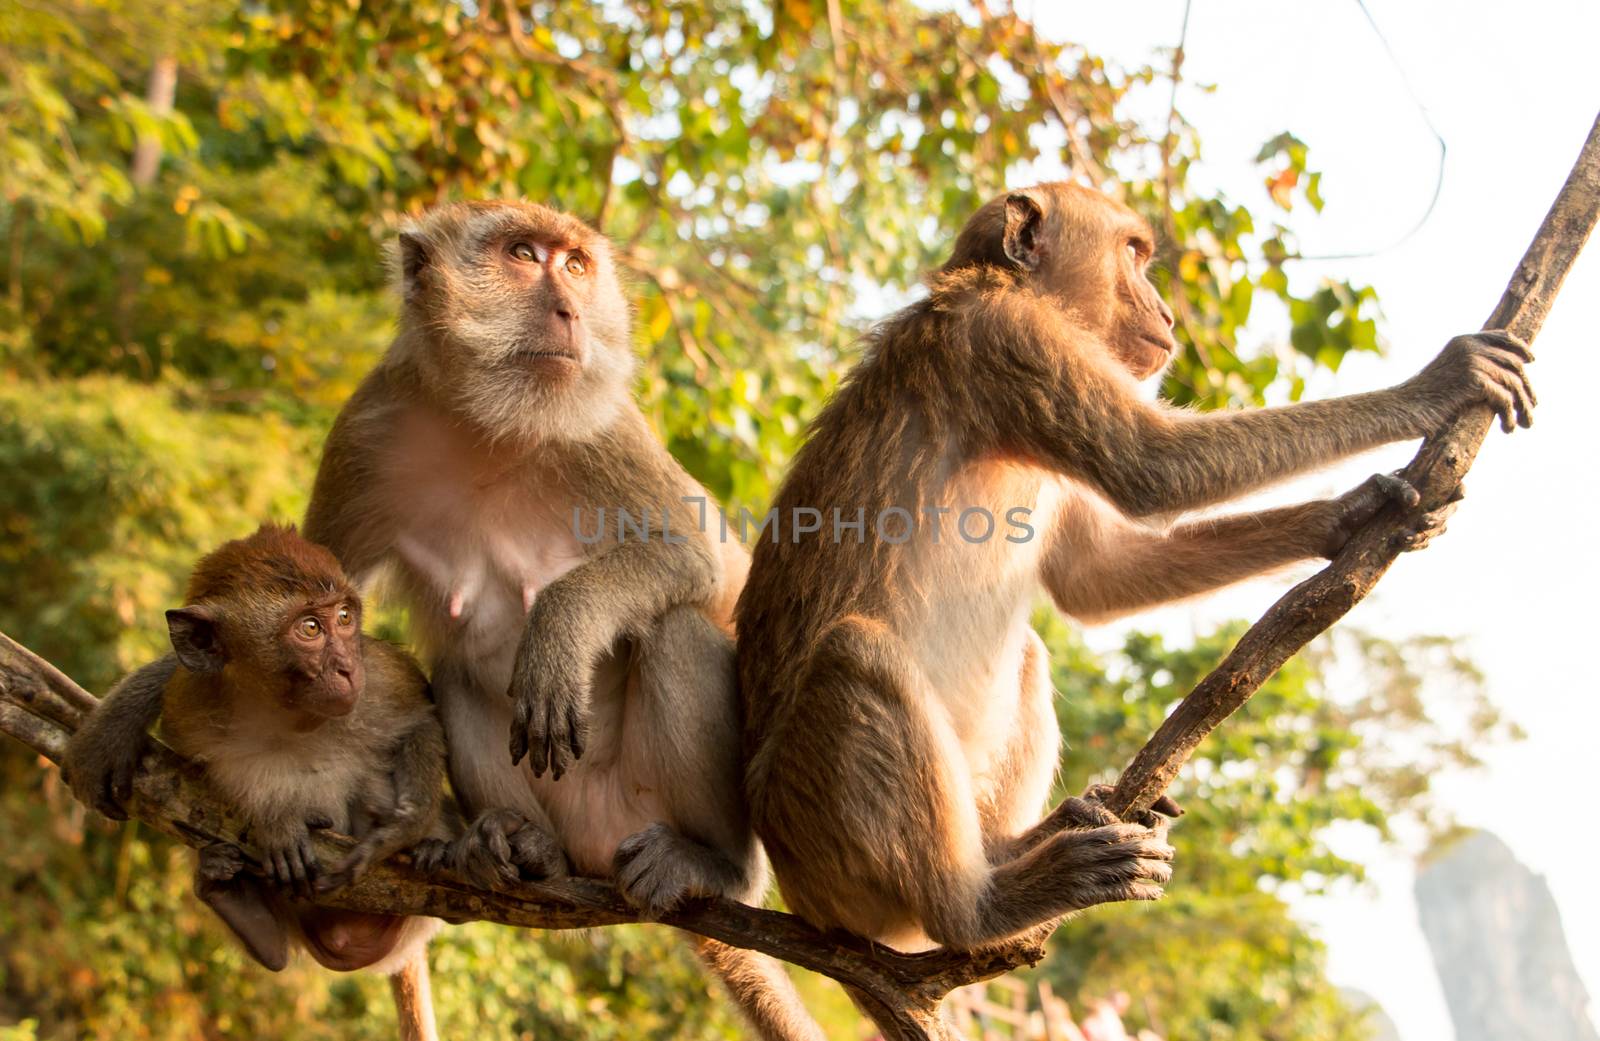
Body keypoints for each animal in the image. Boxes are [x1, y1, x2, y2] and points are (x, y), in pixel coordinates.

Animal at [63, 530, 448, 1041]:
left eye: (344, 618)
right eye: (310, 628)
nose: (347, 668)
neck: (290, 714)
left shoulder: (382, 678)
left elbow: (420, 721)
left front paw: (401, 829)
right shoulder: (189, 701)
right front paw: (275, 821)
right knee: (274, 945)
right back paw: (236, 902)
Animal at [304, 197, 819, 1041]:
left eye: (575, 264)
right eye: (522, 254)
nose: (571, 309)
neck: (489, 424)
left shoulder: (606, 429)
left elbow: (701, 565)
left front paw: (559, 628)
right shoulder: (367, 429)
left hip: (646, 809)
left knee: (677, 630)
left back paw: (712, 864)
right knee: (454, 677)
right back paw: (517, 844)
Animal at [732, 181, 1529, 953]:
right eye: (1133, 254)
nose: (1167, 310)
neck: (1008, 288)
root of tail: (809, 904)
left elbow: (1096, 578)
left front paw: (1352, 516)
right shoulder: (1009, 339)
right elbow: (1156, 469)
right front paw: (1436, 384)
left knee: (1025, 652)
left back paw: (1016, 845)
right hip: (821, 840)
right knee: (856, 653)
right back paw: (980, 908)